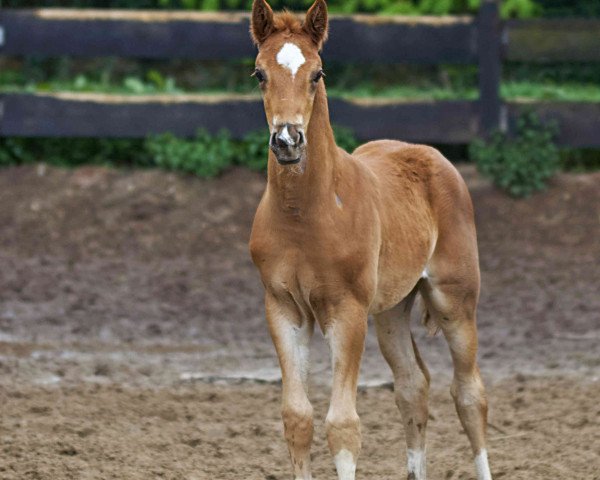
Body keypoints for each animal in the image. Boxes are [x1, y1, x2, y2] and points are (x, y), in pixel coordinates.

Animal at [248, 1, 492, 478]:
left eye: (317, 73)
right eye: (260, 73)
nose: (287, 140)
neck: (306, 214)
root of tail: (430, 154)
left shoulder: (346, 311)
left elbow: (343, 425)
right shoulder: (283, 308)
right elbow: (297, 418)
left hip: (455, 301)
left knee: (469, 393)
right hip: (391, 310)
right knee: (413, 385)